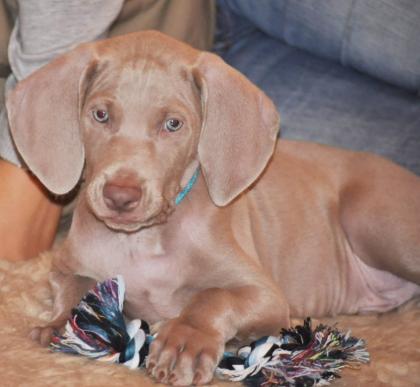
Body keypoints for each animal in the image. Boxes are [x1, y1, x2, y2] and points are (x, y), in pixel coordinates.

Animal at [5, 31, 420, 386]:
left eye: (173, 124)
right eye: (100, 115)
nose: (120, 196)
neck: (144, 240)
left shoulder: (265, 293)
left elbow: (213, 296)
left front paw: (184, 342)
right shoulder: (65, 265)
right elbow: (77, 289)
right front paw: (64, 324)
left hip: (372, 220)